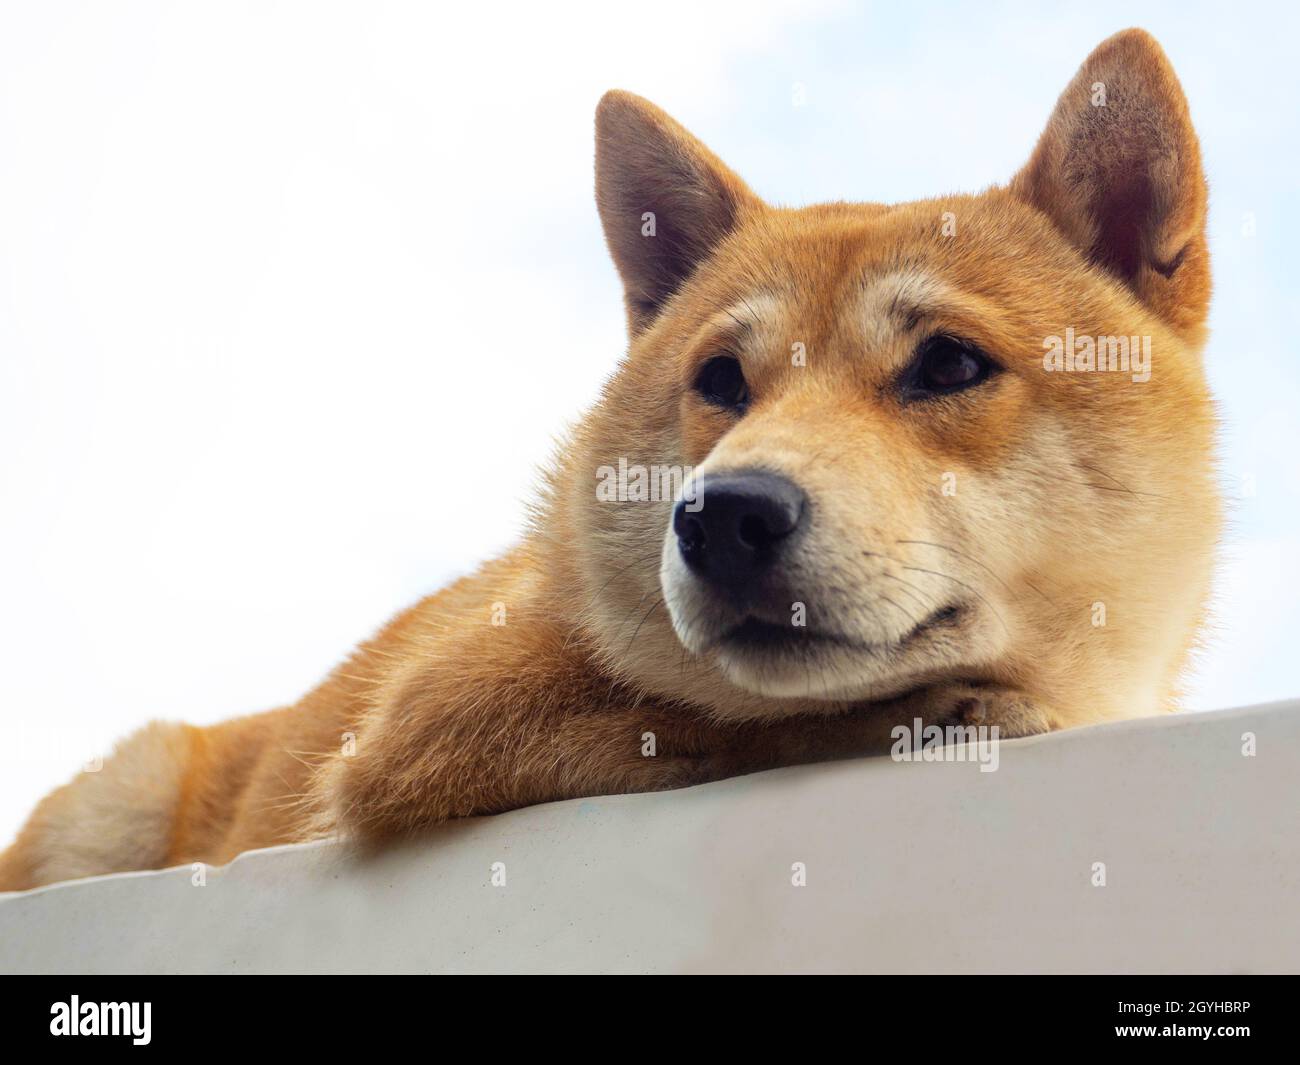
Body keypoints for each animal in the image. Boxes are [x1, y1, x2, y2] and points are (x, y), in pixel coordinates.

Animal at [0, 27, 1216, 889]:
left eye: (949, 363)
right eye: (720, 380)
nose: (725, 515)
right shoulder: (432, 721)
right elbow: (723, 724)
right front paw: (911, 714)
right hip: (124, 788)